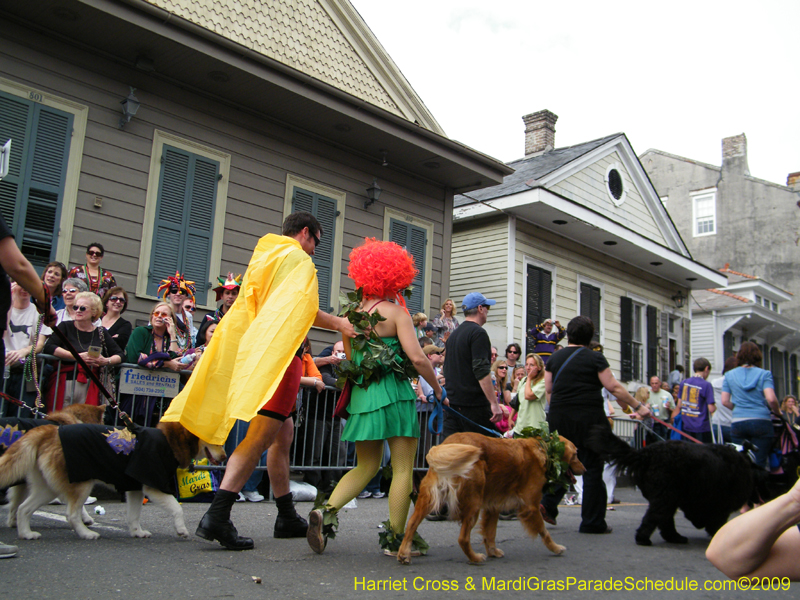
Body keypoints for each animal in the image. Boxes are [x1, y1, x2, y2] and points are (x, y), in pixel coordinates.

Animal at [396, 432, 584, 564]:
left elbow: (490, 532)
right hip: (473, 502)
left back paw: (404, 553)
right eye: (576, 454)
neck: (543, 449)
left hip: (428, 498)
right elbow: (544, 532)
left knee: (411, 523)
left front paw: (493, 551)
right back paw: (475, 558)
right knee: (463, 538)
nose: (585, 469)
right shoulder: (531, 506)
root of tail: (447, 444)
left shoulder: (494, 505)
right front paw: (556, 548)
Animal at [584, 424, 764, 548]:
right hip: (666, 496)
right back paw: (644, 538)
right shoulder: (719, 504)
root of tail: (644, 454)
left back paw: (674, 537)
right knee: (653, 518)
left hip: (668, 498)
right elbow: (716, 520)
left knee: (664, 520)